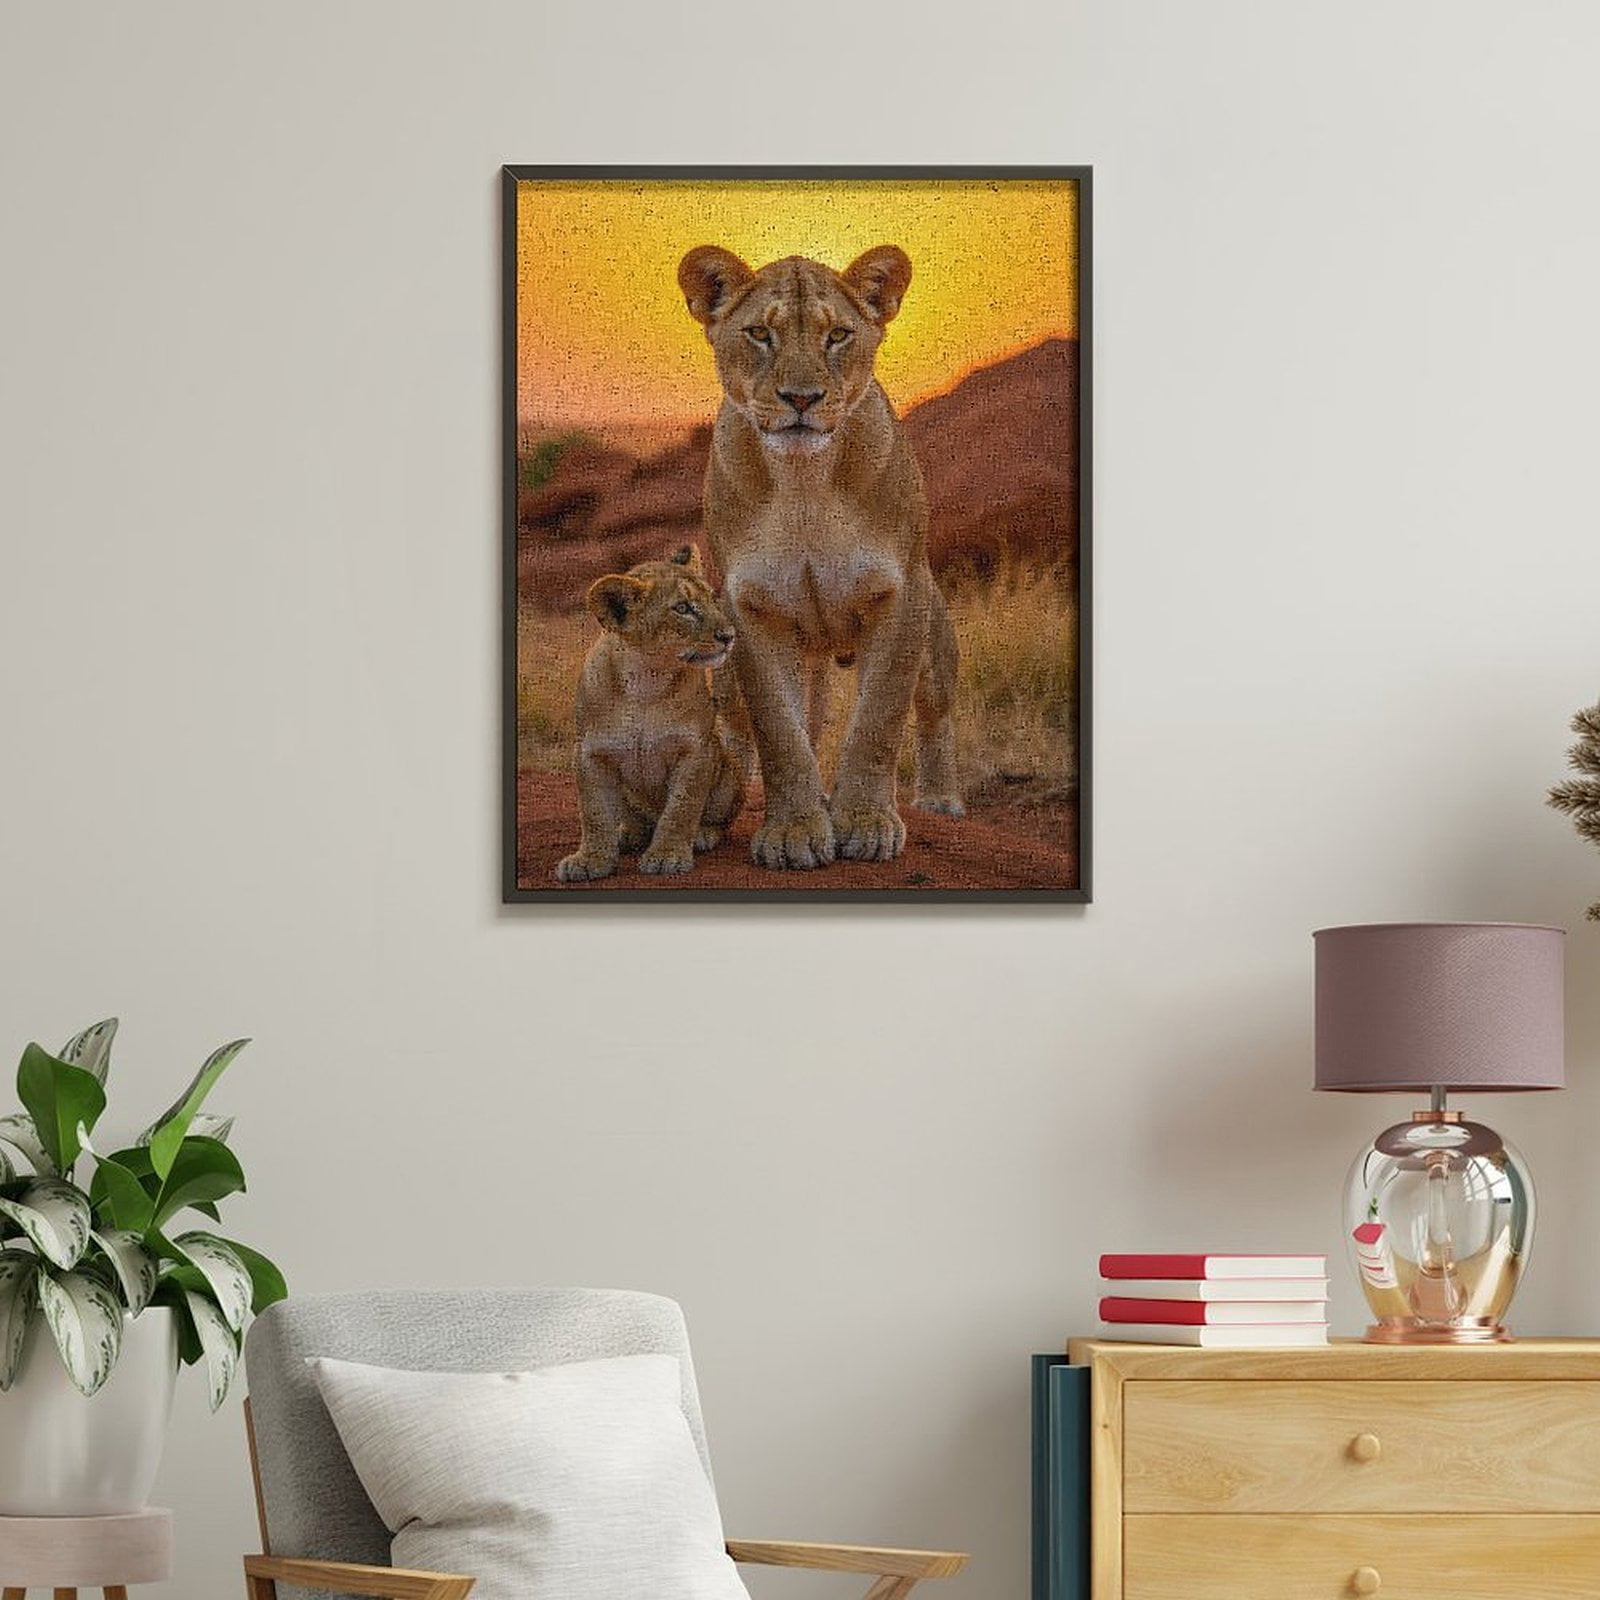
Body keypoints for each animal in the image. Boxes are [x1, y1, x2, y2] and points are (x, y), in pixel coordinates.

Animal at [555, 545, 746, 883]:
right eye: (683, 608)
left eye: (713, 598)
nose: (729, 635)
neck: (647, 679)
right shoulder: (589, 753)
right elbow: (594, 813)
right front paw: (590, 859)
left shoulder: (696, 750)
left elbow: (680, 809)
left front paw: (667, 855)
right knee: (638, 821)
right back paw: (626, 835)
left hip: (726, 776)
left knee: (715, 819)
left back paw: (702, 835)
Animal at [678, 242, 962, 870]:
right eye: (760, 333)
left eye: (838, 336)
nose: (802, 398)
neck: (805, 483)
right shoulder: (749, 610)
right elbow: (780, 733)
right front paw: (794, 830)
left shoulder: (900, 595)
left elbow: (880, 719)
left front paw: (867, 822)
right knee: (744, 723)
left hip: (934, 638)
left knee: (934, 713)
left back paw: (940, 799)